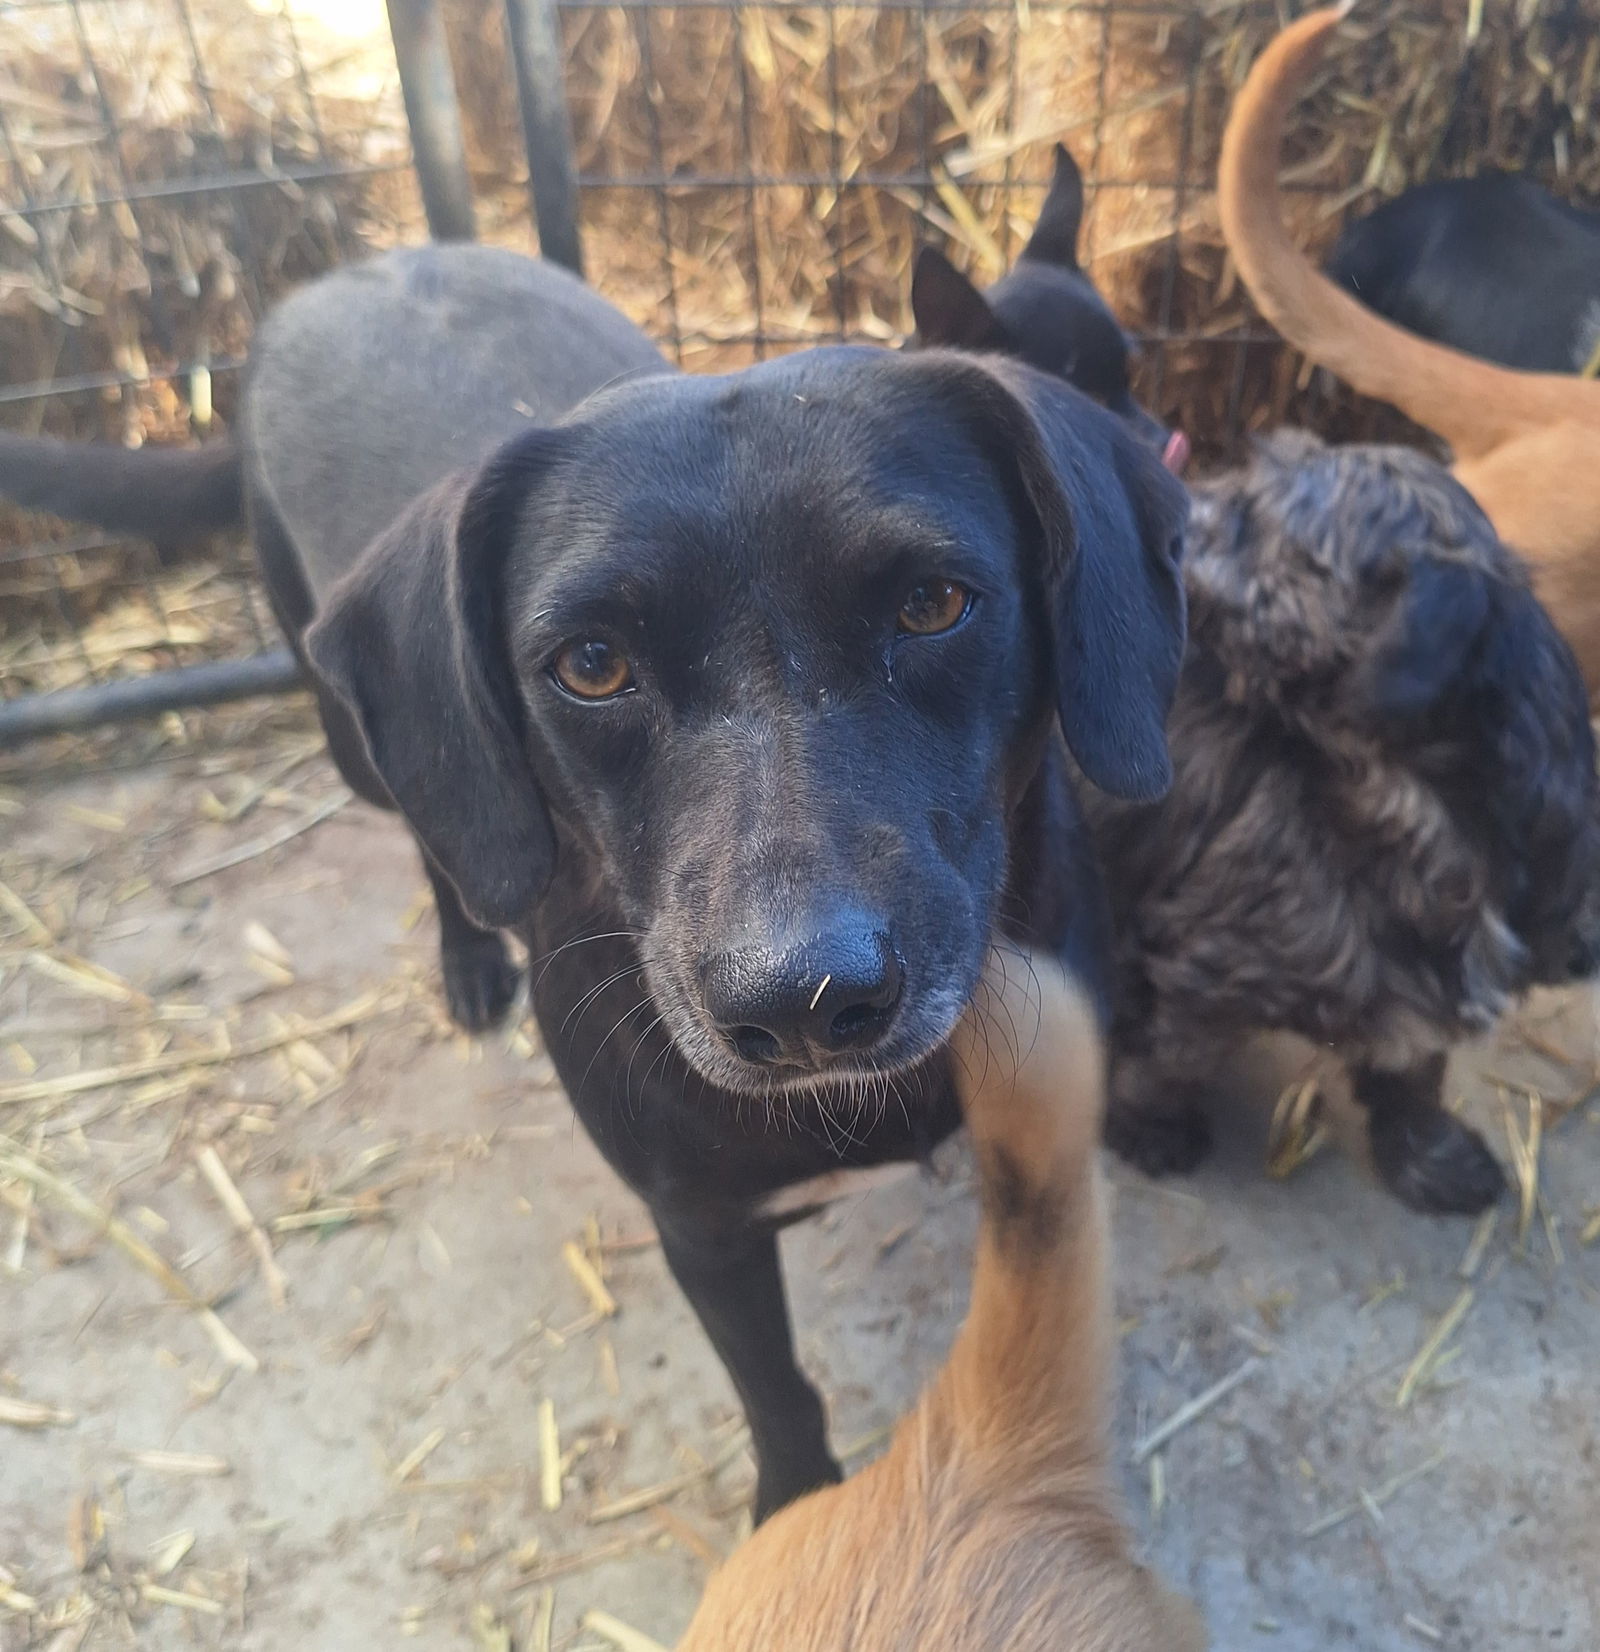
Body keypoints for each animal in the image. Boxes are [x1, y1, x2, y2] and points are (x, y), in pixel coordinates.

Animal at [0, 244, 1182, 1519]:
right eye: (593, 664)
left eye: (931, 603)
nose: (803, 1004)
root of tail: (369, 264)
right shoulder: (701, 1227)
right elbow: (775, 1386)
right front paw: (793, 1503)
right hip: (357, 732)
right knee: (440, 833)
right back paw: (471, 956)